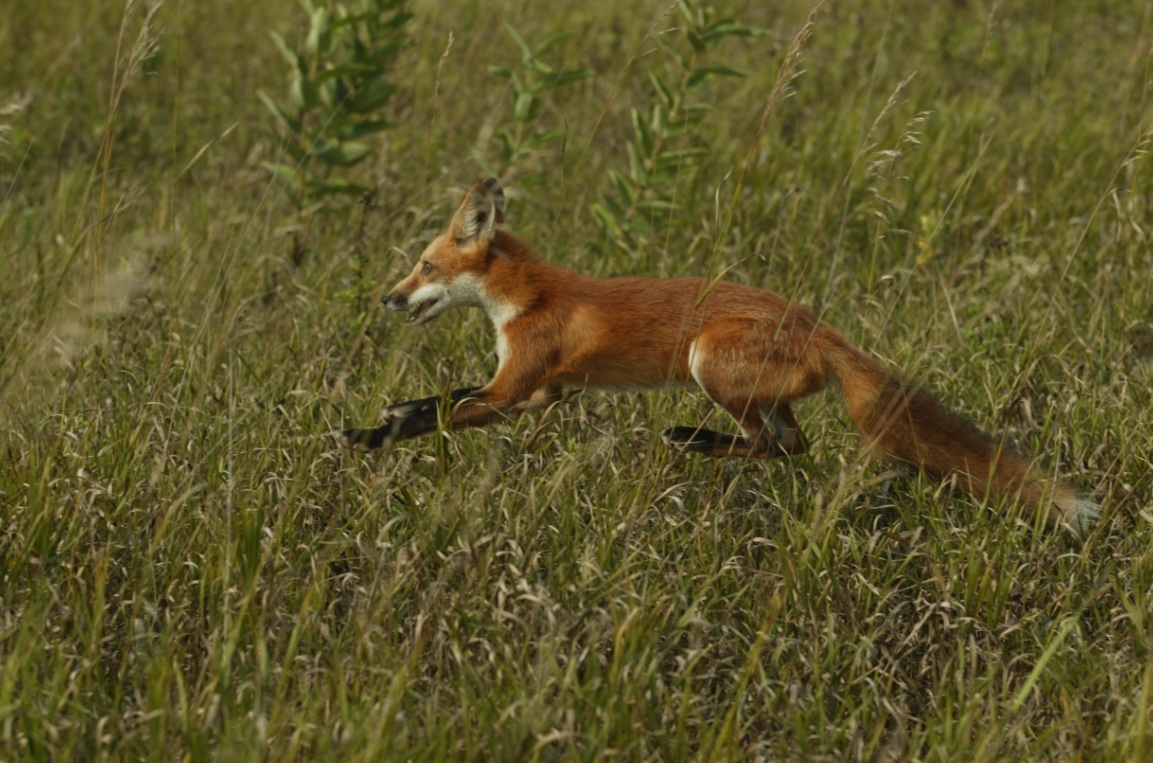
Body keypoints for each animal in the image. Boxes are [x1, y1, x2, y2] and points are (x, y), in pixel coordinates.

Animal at [343, 177, 1097, 532]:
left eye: (424, 265)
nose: (386, 297)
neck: (524, 297)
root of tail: (821, 327)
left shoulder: (516, 391)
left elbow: (446, 412)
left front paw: (371, 435)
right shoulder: (537, 393)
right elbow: (441, 397)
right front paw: (389, 414)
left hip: (710, 363)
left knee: (776, 444)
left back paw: (691, 439)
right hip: (756, 392)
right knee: (791, 444)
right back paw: (697, 442)